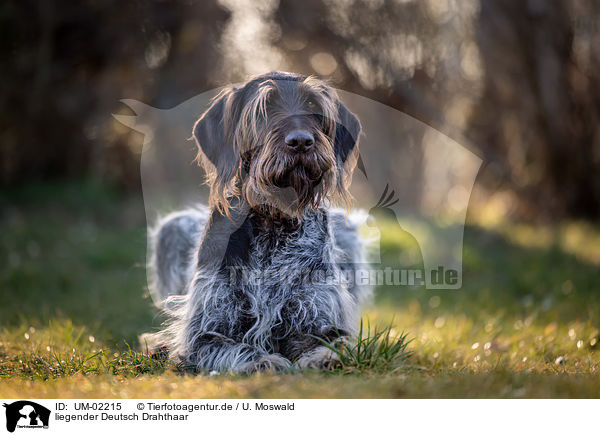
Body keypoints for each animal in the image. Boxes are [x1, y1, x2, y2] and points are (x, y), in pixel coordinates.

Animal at [142, 72, 370, 374]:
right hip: (172, 229)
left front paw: (327, 357)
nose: (301, 141)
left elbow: (336, 341)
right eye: (265, 108)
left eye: (313, 105)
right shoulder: (205, 332)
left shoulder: (317, 316)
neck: (274, 224)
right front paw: (265, 361)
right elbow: (235, 348)